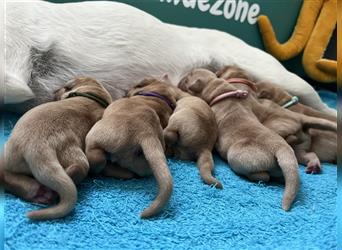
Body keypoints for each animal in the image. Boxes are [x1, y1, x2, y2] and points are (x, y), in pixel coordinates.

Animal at [84, 77, 183, 218]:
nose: (125, 90)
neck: (157, 97)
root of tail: (146, 134)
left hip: (95, 137)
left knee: (98, 160)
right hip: (143, 165)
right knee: (129, 173)